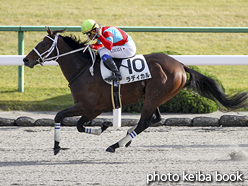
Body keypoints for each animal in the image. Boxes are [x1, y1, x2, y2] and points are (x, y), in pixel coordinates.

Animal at [23, 27, 248, 154]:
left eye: (42, 43)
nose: (25, 59)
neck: (83, 69)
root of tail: (181, 65)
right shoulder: (93, 109)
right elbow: (79, 125)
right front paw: (103, 126)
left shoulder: (87, 106)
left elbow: (60, 116)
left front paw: (56, 147)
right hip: (154, 96)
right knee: (153, 119)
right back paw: (126, 140)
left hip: (154, 96)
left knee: (144, 122)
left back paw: (116, 145)